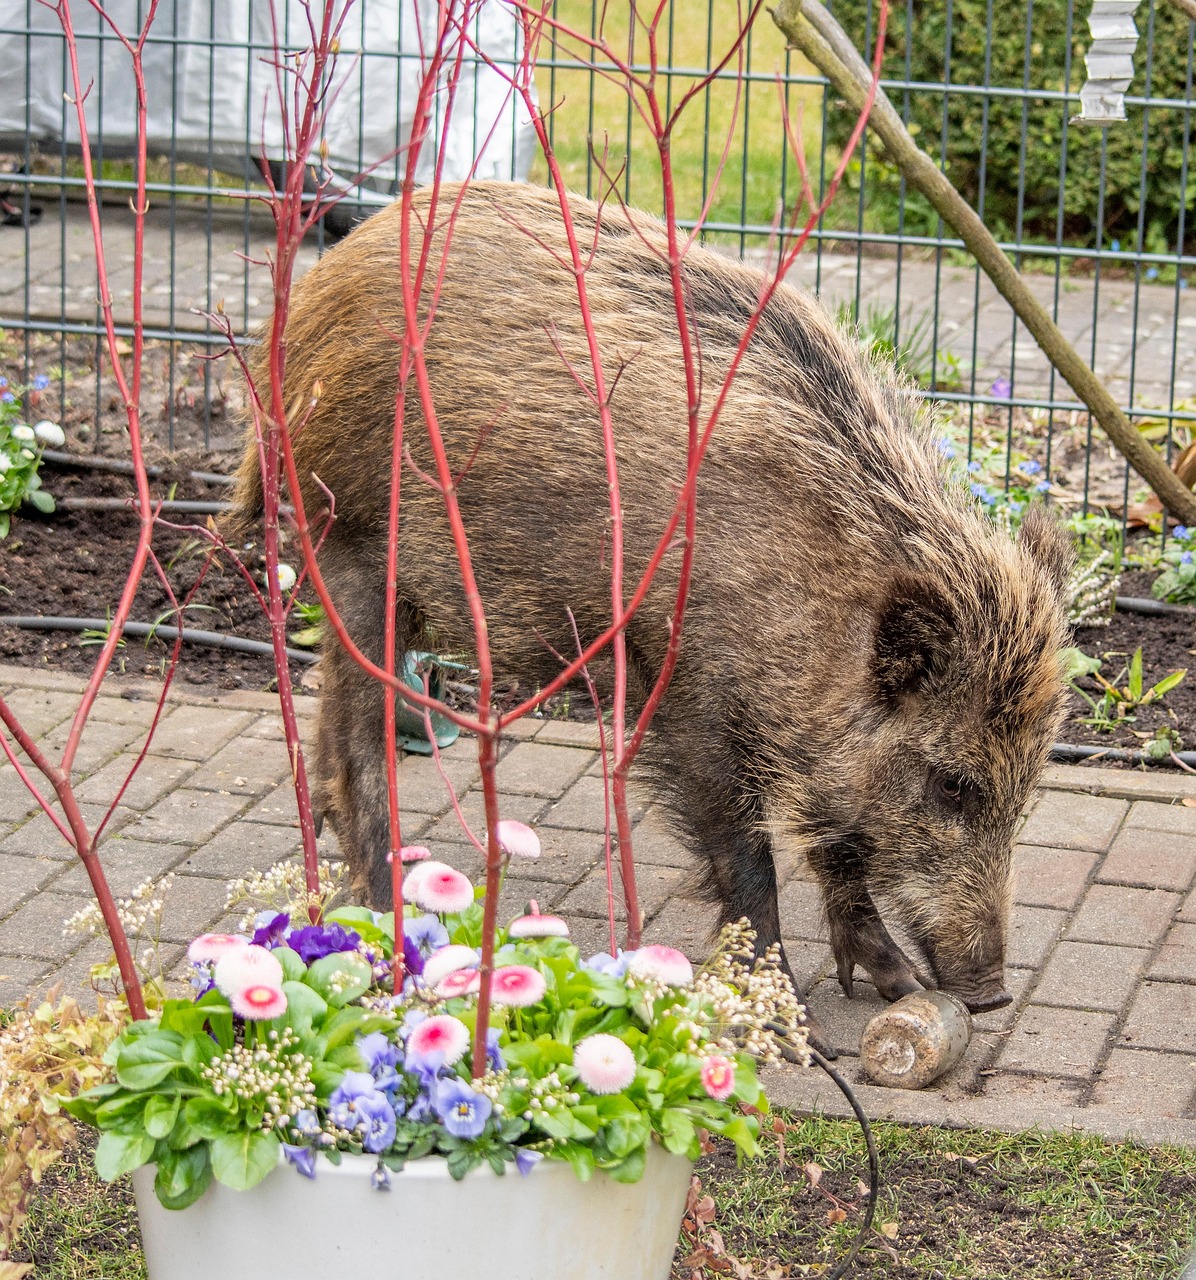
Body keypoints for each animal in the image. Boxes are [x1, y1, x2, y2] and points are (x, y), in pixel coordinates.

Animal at [229, 181, 1070, 1042]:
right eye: (951, 785)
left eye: (1028, 783)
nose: (991, 993)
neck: (813, 589)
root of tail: (308, 302)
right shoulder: (688, 687)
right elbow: (749, 852)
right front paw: (784, 1018)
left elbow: (840, 839)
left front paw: (897, 987)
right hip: (355, 550)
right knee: (357, 748)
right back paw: (380, 920)